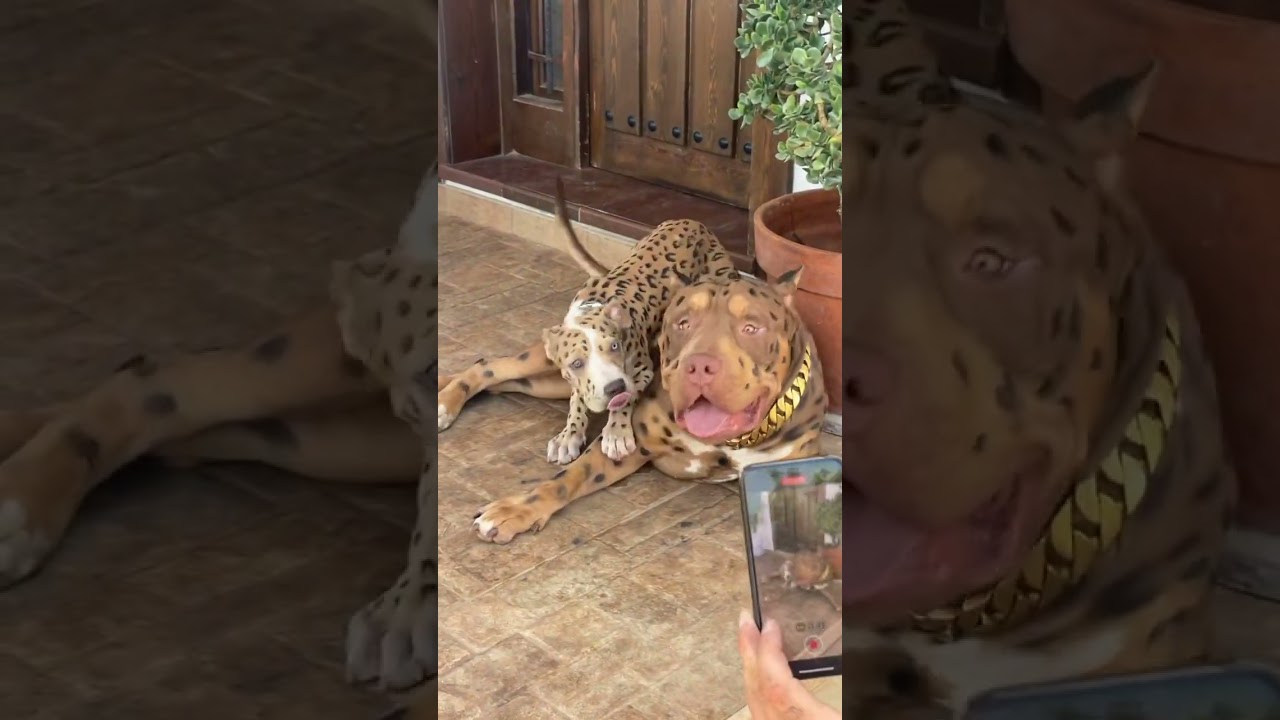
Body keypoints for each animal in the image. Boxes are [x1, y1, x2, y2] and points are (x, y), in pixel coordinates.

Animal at [436, 176, 739, 464]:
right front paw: (569, 434)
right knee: (488, 367)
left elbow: (625, 399)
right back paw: (444, 405)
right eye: (577, 363)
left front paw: (616, 432)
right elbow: (578, 399)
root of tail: (694, 222)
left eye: (614, 347)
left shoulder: (641, 371)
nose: (614, 388)